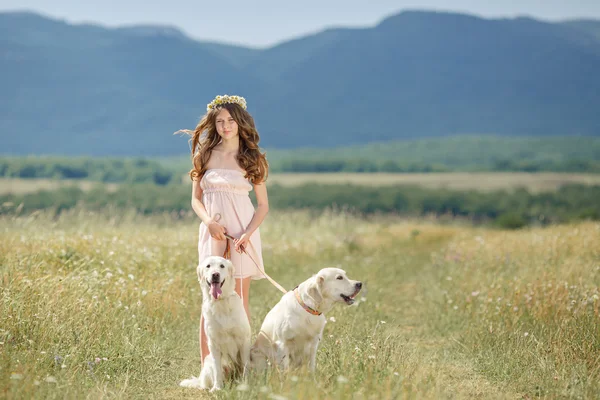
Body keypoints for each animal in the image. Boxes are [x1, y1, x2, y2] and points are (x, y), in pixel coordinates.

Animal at [180, 256, 251, 390]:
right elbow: (217, 369)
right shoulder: (214, 344)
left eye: (222, 266)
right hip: (207, 363)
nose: (215, 274)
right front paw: (217, 388)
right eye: (208, 266)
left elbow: (245, 364)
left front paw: (247, 383)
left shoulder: (243, 339)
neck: (221, 302)